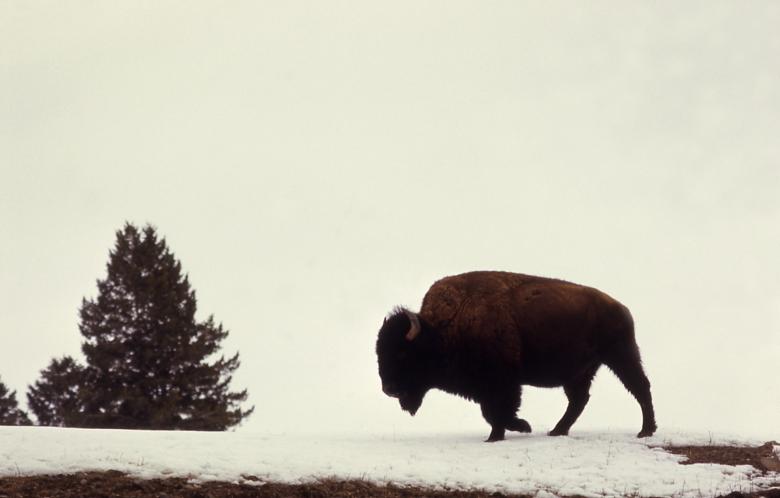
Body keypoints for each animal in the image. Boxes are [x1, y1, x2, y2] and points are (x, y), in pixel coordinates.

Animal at [376, 271, 657, 442]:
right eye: (380, 352)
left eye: (401, 353)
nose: (389, 389)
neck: (441, 329)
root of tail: (620, 307)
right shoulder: (487, 387)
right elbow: (491, 412)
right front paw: (506, 432)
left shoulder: (502, 382)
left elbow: (498, 410)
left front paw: (515, 429)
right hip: (581, 372)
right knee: (579, 399)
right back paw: (557, 431)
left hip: (620, 355)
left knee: (640, 387)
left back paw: (646, 431)